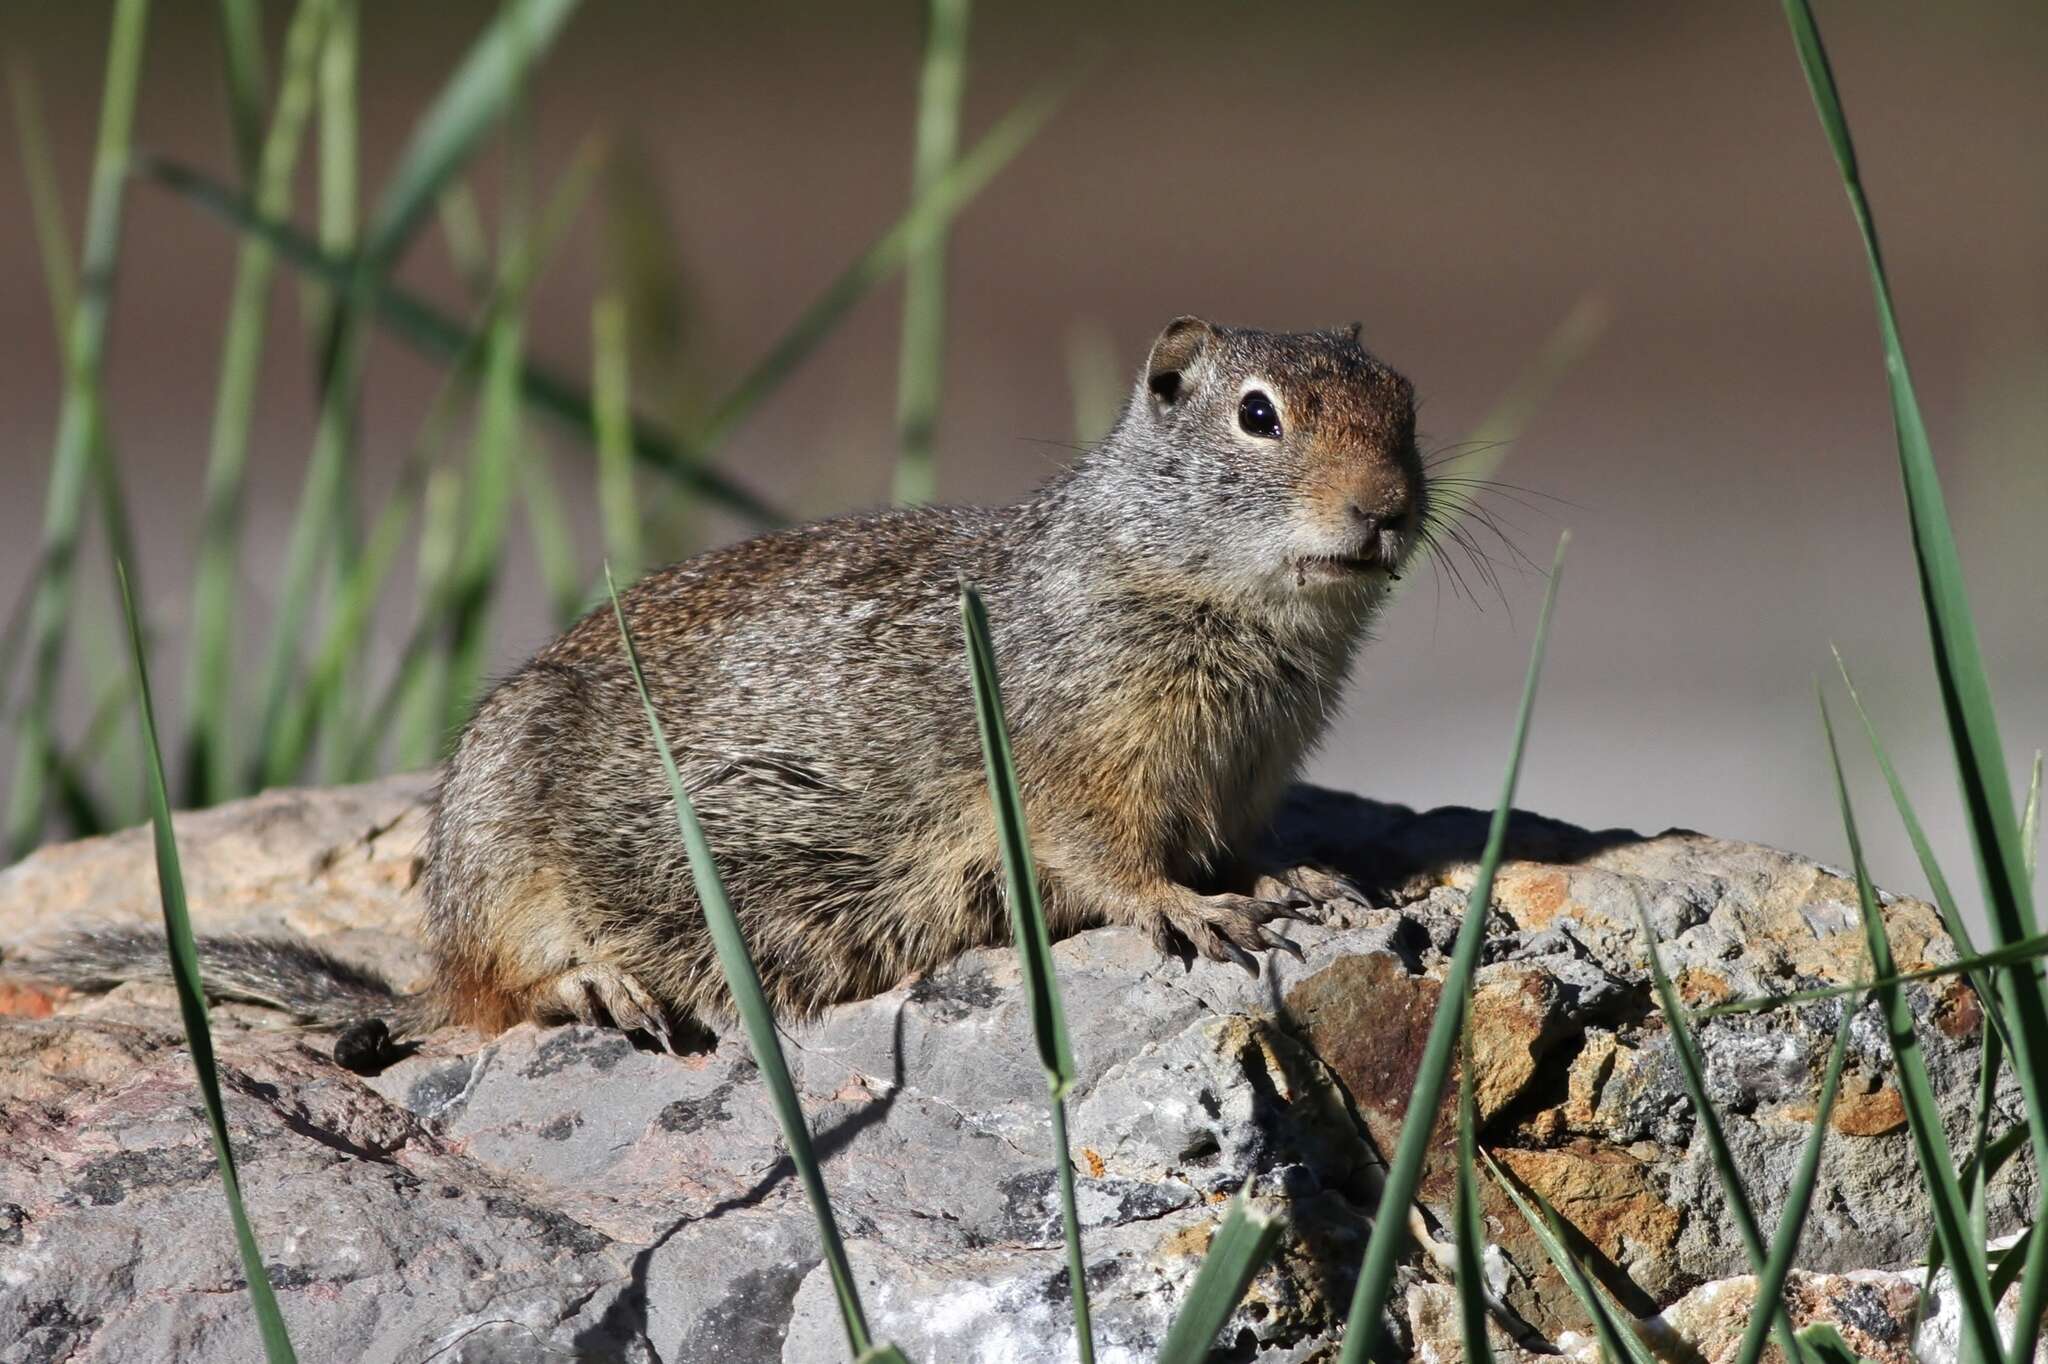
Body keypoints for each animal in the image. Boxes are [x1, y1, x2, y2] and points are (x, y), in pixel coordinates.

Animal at [28, 315, 1425, 1048]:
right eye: (1257, 415)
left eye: (1405, 404)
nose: (1388, 507)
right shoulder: (1072, 754)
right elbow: (1105, 857)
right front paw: (1188, 909)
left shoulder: (1244, 774)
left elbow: (1241, 841)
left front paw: (1288, 876)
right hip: (503, 863)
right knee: (489, 996)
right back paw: (596, 986)